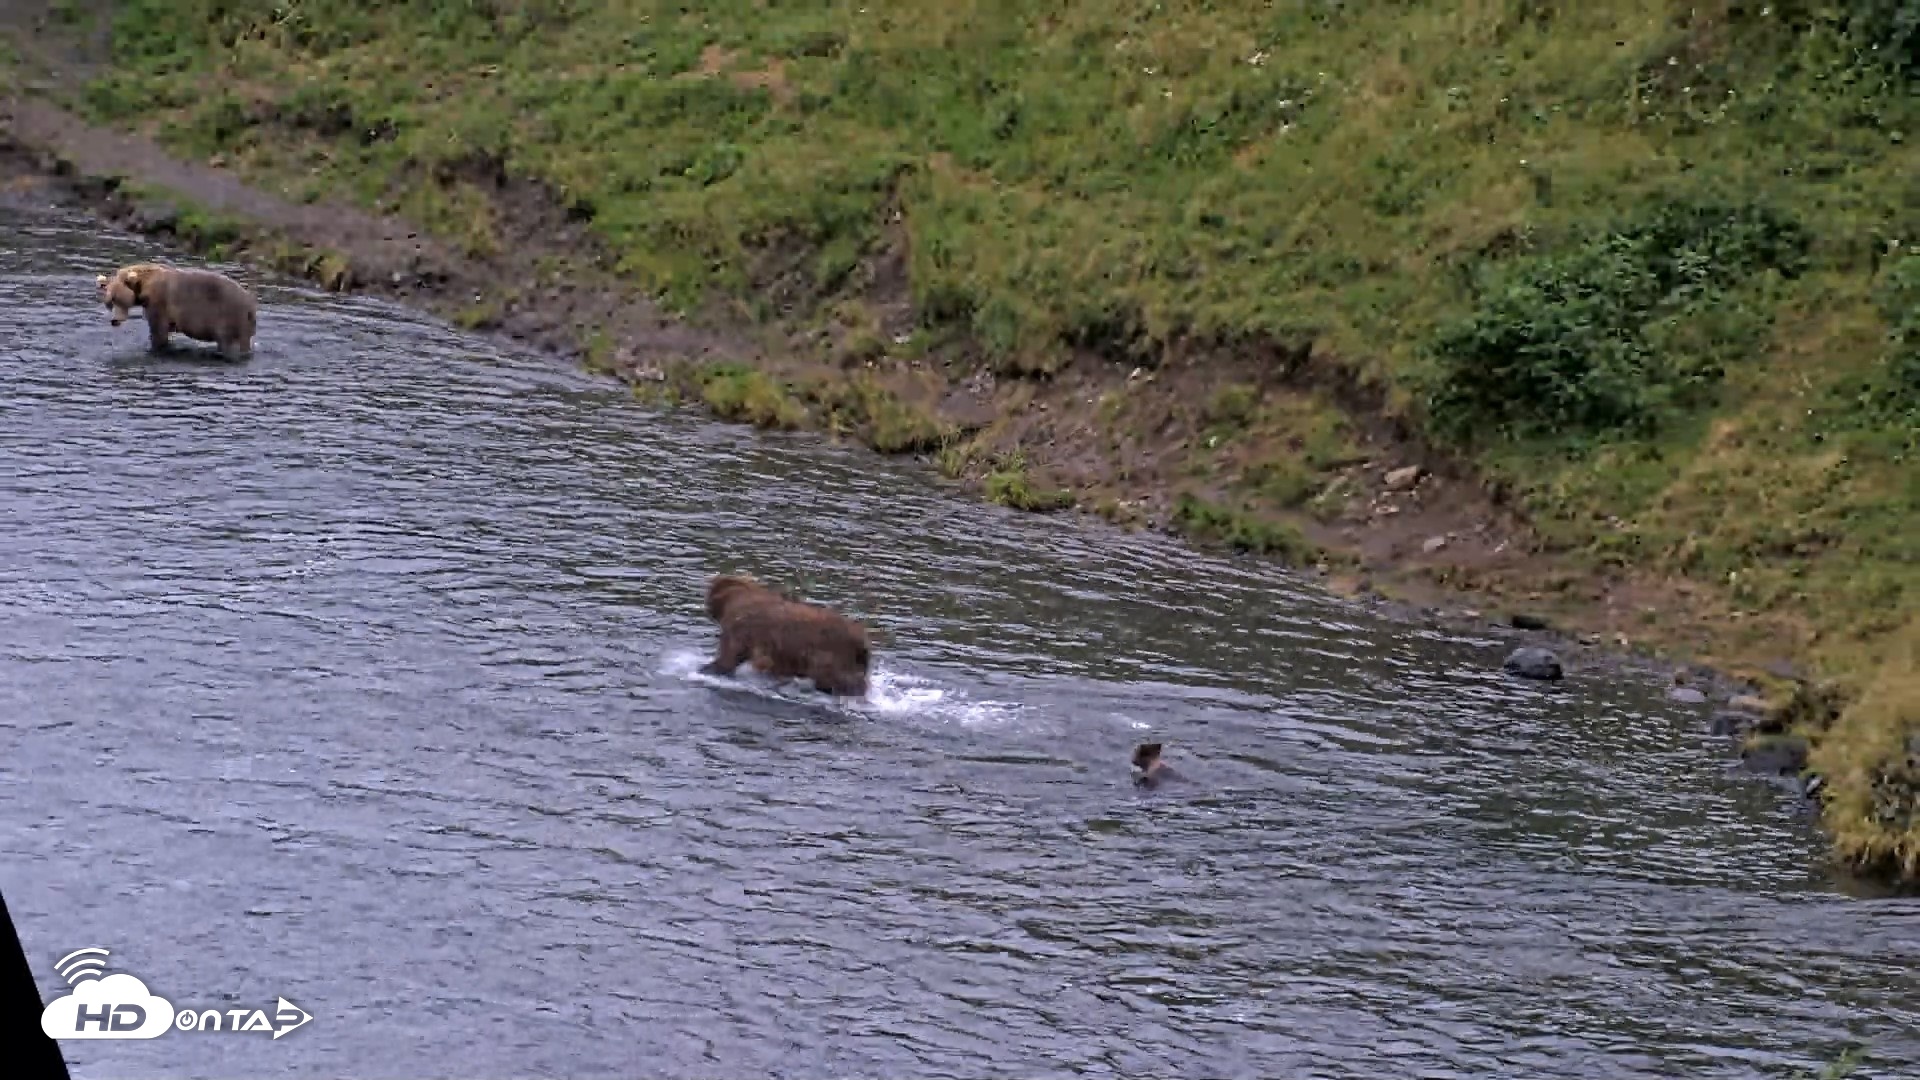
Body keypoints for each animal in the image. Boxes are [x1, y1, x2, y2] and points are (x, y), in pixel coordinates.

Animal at [96, 262, 257, 359]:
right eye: (109, 303)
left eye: (116, 299)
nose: (114, 321)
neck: (145, 284)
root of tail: (251, 305)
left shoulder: (159, 302)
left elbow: (158, 331)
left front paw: (156, 348)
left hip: (228, 315)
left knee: (227, 340)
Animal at [700, 574, 872, 698]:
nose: (708, 607)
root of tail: (862, 640)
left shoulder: (741, 629)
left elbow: (730, 655)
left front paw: (709, 668)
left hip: (833, 652)